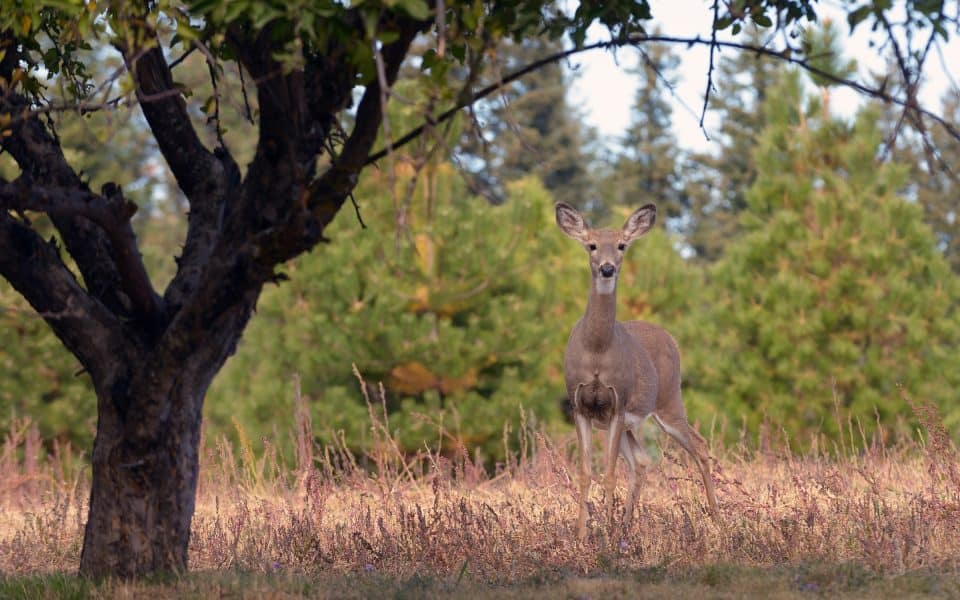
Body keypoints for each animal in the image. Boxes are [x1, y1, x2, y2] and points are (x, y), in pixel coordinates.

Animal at [556, 200, 720, 540]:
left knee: (698, 446)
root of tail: (669, 336)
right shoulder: (580, 404)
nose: (607, 268)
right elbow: (585, 472)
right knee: (642, 461)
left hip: (669, 399)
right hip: (632, 421)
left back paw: (719, 522)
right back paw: (626, 528)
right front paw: (581, 536)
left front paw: (603, 535)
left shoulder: (617, 402)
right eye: (591, 245)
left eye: (622, 245)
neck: (596, 352)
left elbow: (608, 473)